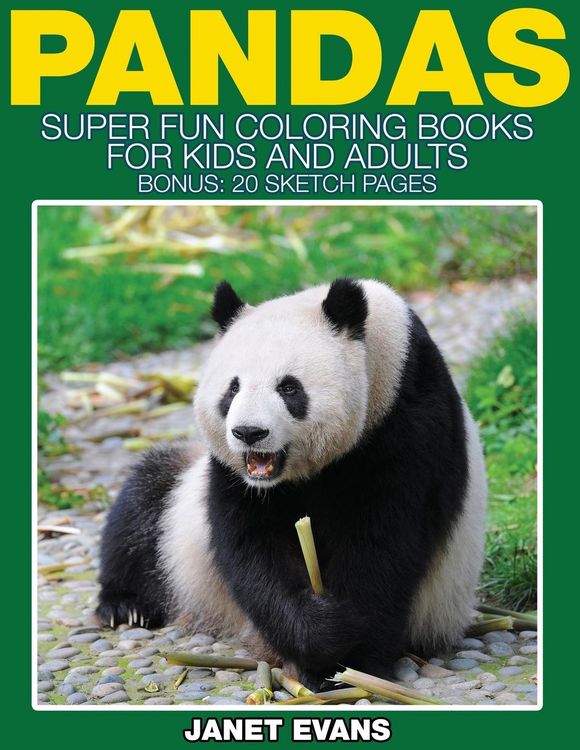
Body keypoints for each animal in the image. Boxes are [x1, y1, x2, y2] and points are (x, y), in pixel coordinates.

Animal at [97, 278, 487, 689]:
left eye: (289, 388)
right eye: (232, 389)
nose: (249, 433)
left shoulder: (409, 426)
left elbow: (383, 545)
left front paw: (350, 663)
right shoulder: (234, 478)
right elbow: (252, 549)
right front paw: (322, 634)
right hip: (182, 522)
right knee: (145, 501)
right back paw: (126, 606)